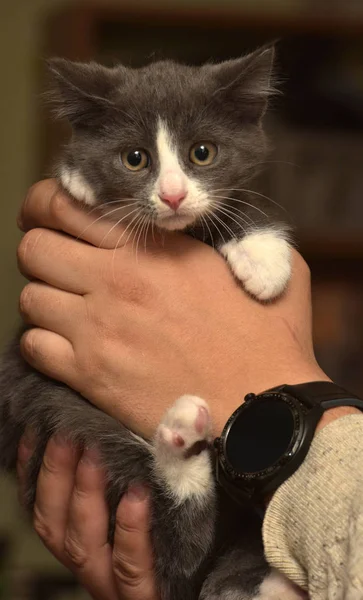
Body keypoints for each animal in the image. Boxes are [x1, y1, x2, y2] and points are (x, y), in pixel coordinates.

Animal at [0, 48, 308, 600]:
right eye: (134, 158)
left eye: (202, 153)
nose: (172, 196)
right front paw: (79, 179)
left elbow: (240, 201)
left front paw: (264, 256)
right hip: (53, 409)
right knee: (179, 552)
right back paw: (181, 438)